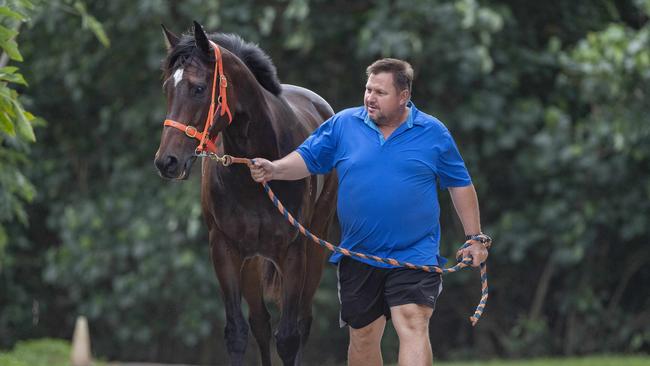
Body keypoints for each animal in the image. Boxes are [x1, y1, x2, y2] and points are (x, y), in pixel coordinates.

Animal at [151, 21, 334, 364]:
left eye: (198, 88)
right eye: (167, 88)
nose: (167, 162)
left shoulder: (293, 252)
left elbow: (288, 338)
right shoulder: (225, 249)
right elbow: (237, 333)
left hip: (314, 246)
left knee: (302, 323)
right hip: (252, 261)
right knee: (260, 323)